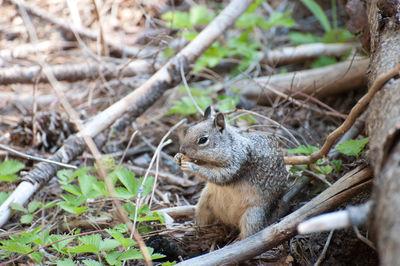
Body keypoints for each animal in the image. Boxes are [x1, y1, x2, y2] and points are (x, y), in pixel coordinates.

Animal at [174, 106, 288, 239]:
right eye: (188, 130)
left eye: (203, 139)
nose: (182, 150)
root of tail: (230, 222)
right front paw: (177, 157)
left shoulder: (239, 162)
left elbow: (220, 176)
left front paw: (191, 167)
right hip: (204, 202)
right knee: (202, 219)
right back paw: (193, 230)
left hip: (253, 215)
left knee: (249, 232)